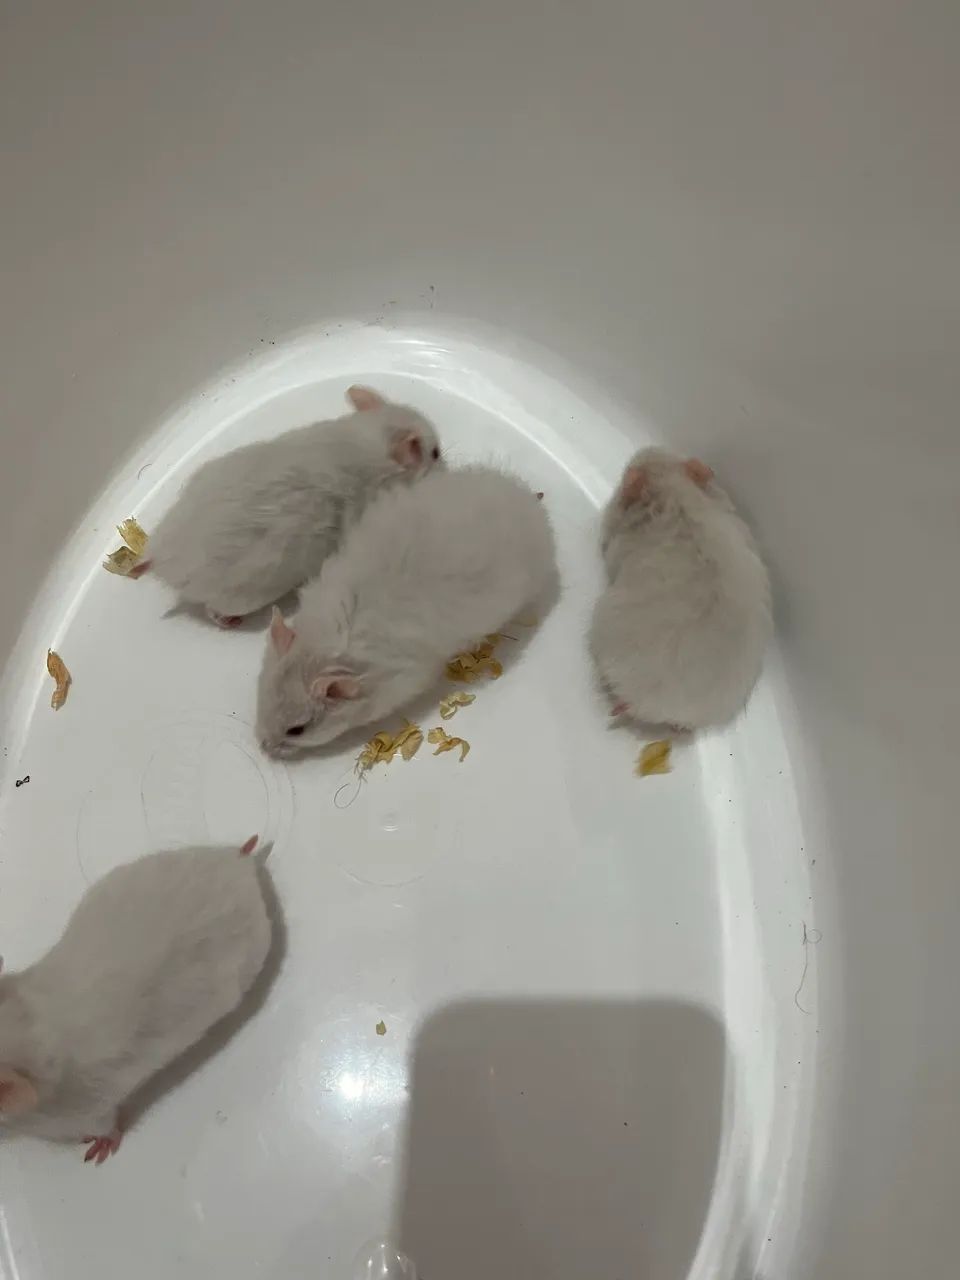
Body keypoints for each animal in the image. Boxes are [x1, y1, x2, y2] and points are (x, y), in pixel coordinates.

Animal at [143, 385, 443, 626]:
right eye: (436, 453)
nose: (444, 467)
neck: (373, 445)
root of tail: (162, 560)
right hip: (246, 595)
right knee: (214, 611)